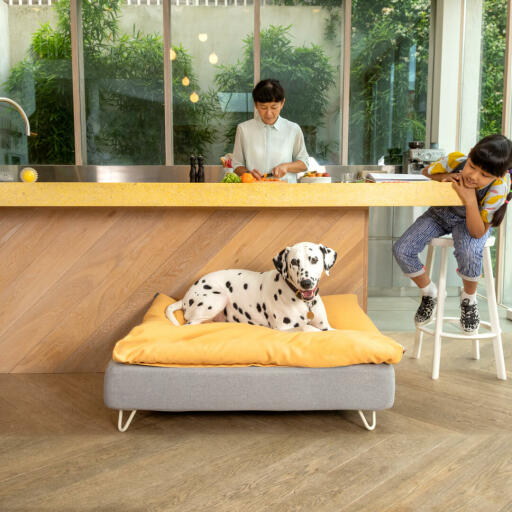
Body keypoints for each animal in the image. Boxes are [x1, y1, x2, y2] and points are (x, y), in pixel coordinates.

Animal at [166, 241, 338, 332]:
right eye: (294, 262)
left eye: (314, 259)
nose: (306, 282)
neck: (304, 302)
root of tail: (185, 297)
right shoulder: (283, 329)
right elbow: (307, 328)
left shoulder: (326, 326)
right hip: (217, 298)